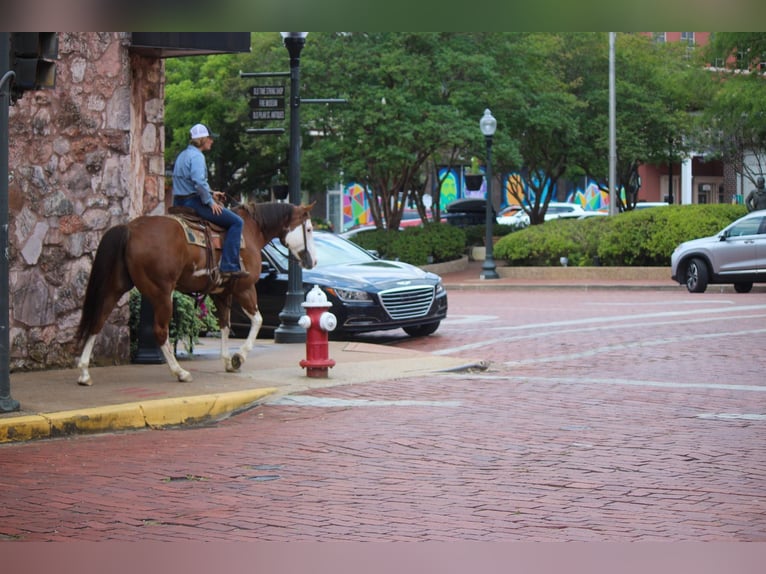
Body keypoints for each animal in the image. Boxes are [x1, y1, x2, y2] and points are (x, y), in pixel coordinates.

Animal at [76, 202, 318, 388]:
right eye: (308, 229)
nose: (313, 261)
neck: (251, 231)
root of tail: (129, 227)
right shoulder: (245, 288)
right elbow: (257, 320)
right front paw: (239, 357)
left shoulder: (222, 293)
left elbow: (225, 326)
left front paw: (227, 361)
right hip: (161, 292)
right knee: (160, 331)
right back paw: (180, 372)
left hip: (116, 286)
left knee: (97, 320)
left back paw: (84, 372)